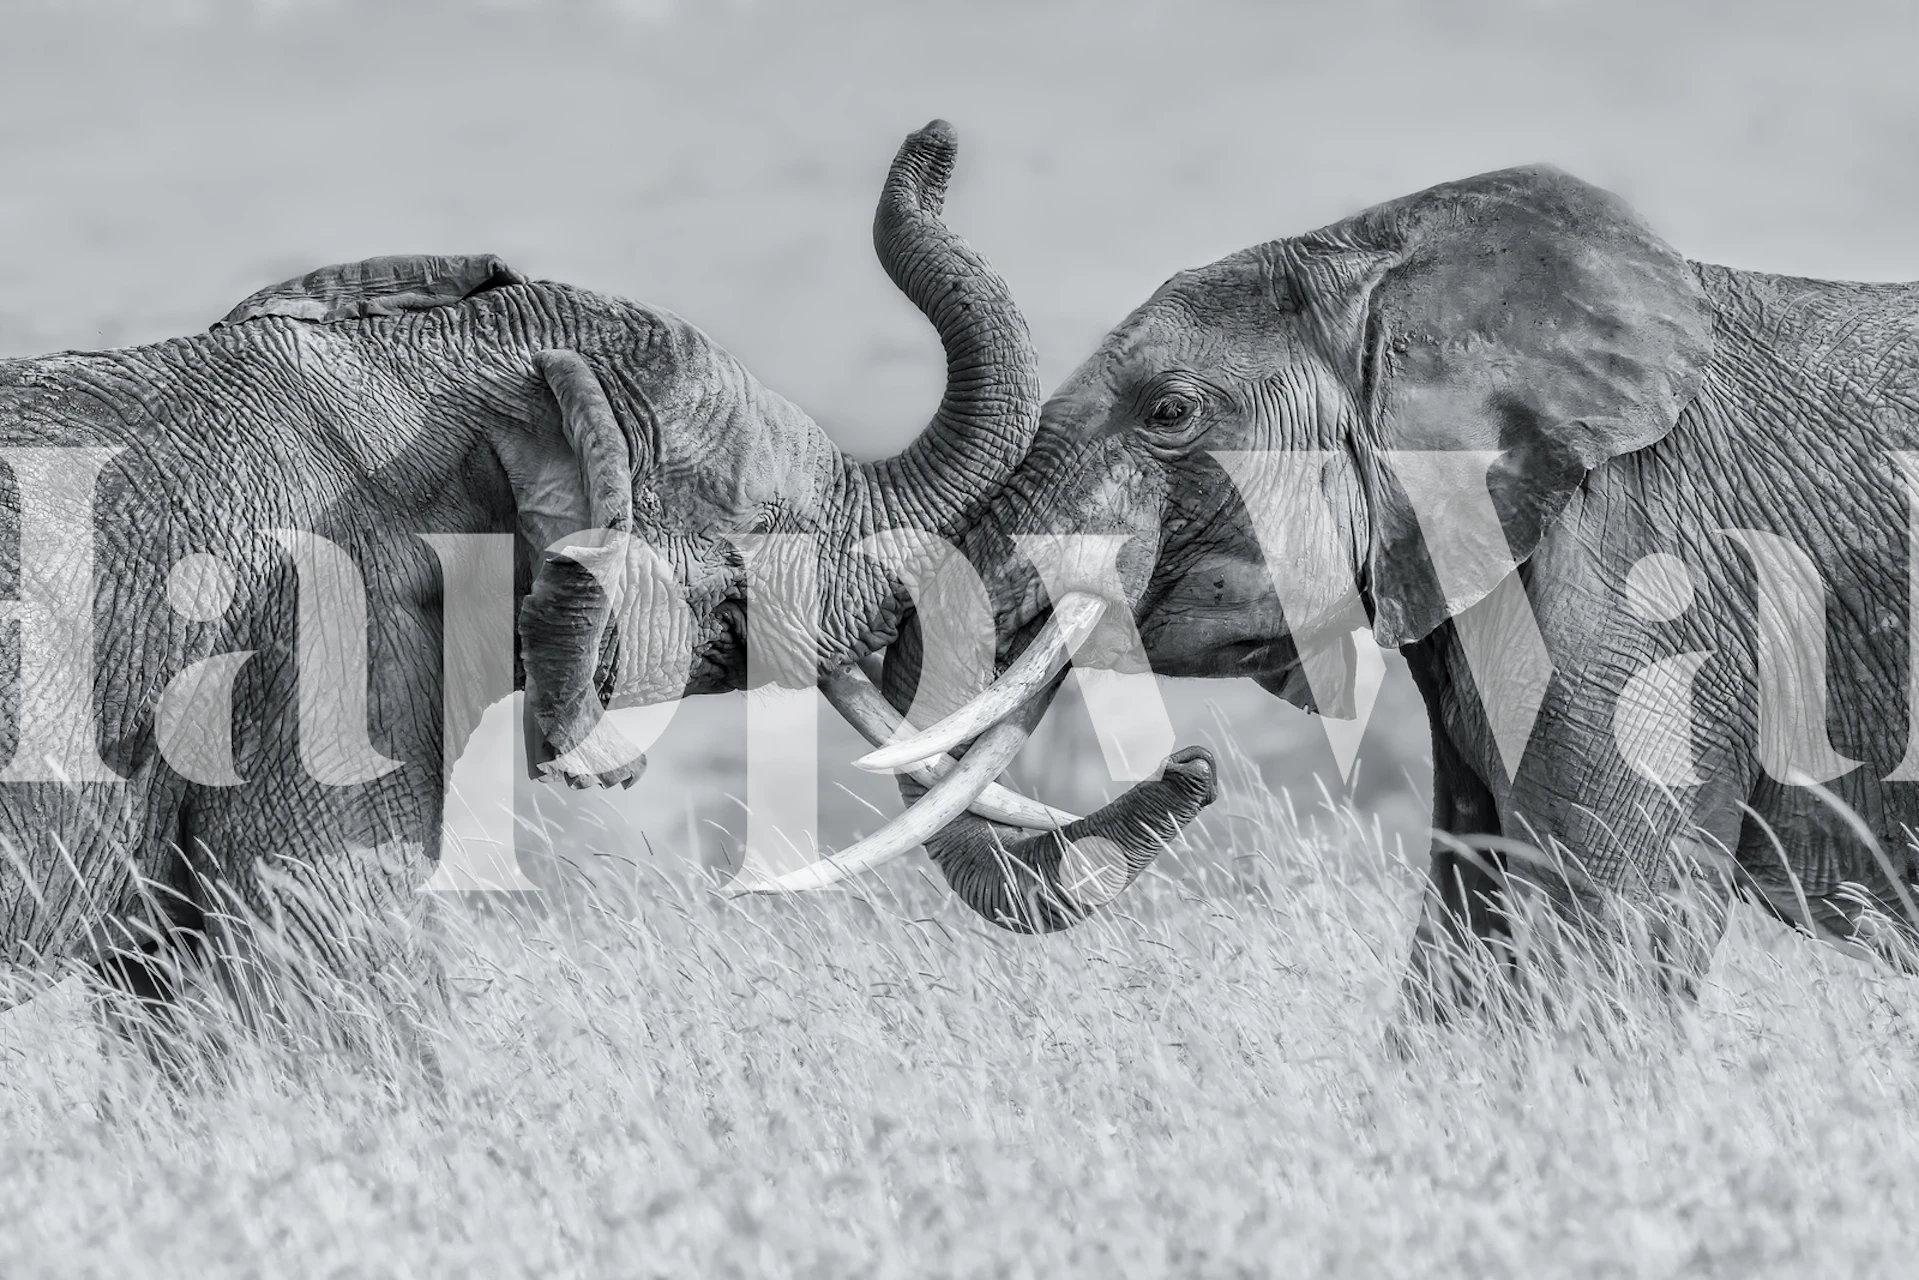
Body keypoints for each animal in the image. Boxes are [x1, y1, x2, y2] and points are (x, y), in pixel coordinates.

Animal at [796, 162, 1919, 1004]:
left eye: (1167, 412)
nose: (1190, 766)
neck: (1387, 264)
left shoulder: (1651, 584)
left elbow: (1605, 932)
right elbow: (1467, 931)